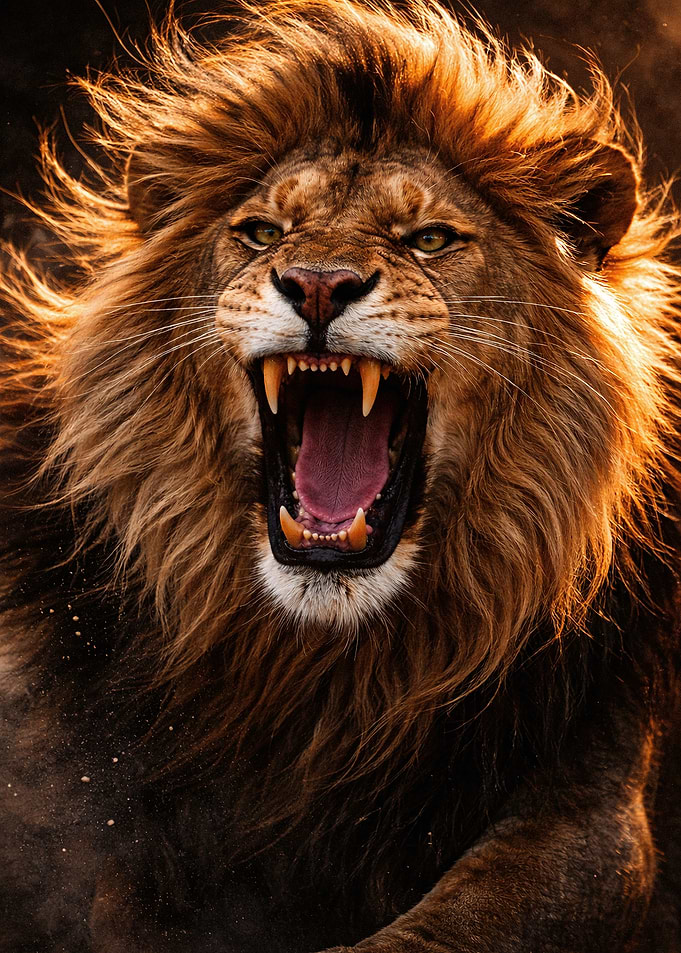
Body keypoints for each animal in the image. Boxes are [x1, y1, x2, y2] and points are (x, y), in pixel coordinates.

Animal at [1, 1, 681, 950]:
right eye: (262, 232)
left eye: (429, 239)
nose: (318, 283)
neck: (323, 670)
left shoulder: (596, 811)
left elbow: (458, 923)